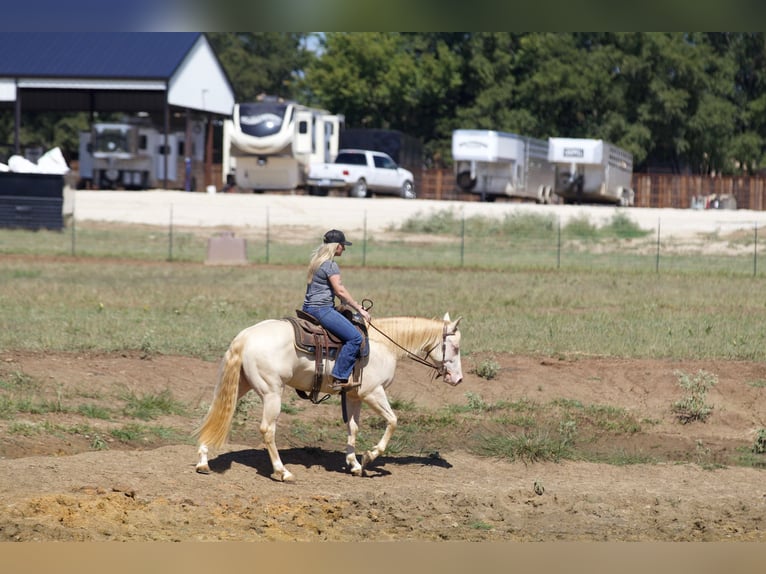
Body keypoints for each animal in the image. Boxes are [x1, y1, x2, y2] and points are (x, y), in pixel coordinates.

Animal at [195, 316, 464, 482]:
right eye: (456, 347)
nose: (458, 379)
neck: (383, 344)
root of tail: (244, 336)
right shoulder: (373, 392)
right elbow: (393, 421)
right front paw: (370, 456)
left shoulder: (354, 396)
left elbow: (353, 428)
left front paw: (354, 464)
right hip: (272, 393)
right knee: (267, 430)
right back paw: (283, 471)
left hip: (241, 385)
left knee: (216, 413)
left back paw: (203, 461)